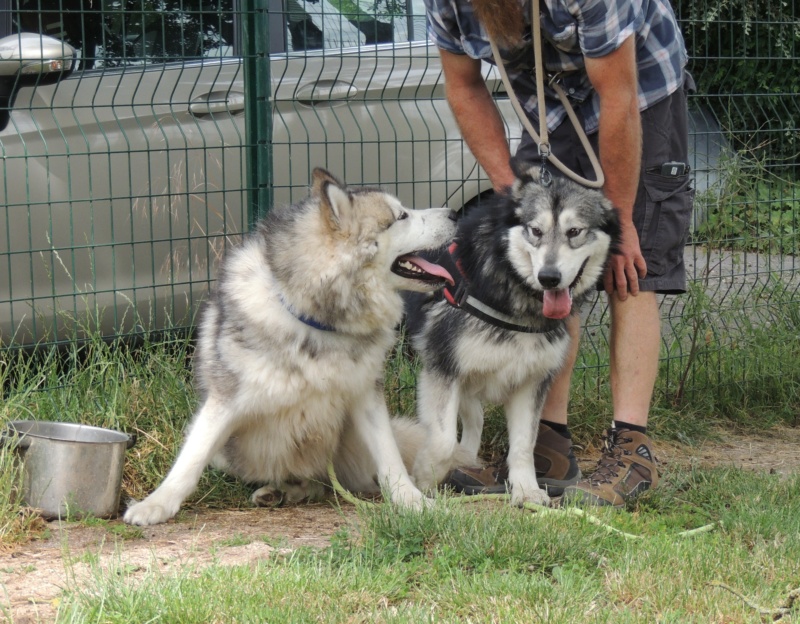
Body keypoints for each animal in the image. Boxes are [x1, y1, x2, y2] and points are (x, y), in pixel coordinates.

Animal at [128, 168, 460, 524]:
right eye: (401, 216)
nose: (455, 213)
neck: (314, 319)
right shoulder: (223, 402)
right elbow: (189, 462)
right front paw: (156, 504)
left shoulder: (365, 395)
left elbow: (389, 457)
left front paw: (411, 500)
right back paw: (276, 491)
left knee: (324, 481)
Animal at [406, 165, 620, 508]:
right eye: (535, 231)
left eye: (575, 232)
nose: (549, 278)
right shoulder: (443, 368)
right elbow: (441, 440)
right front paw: (424, 480)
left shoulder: (530, 382)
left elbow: (523, 445)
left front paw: (526, 490)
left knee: (474, 422)